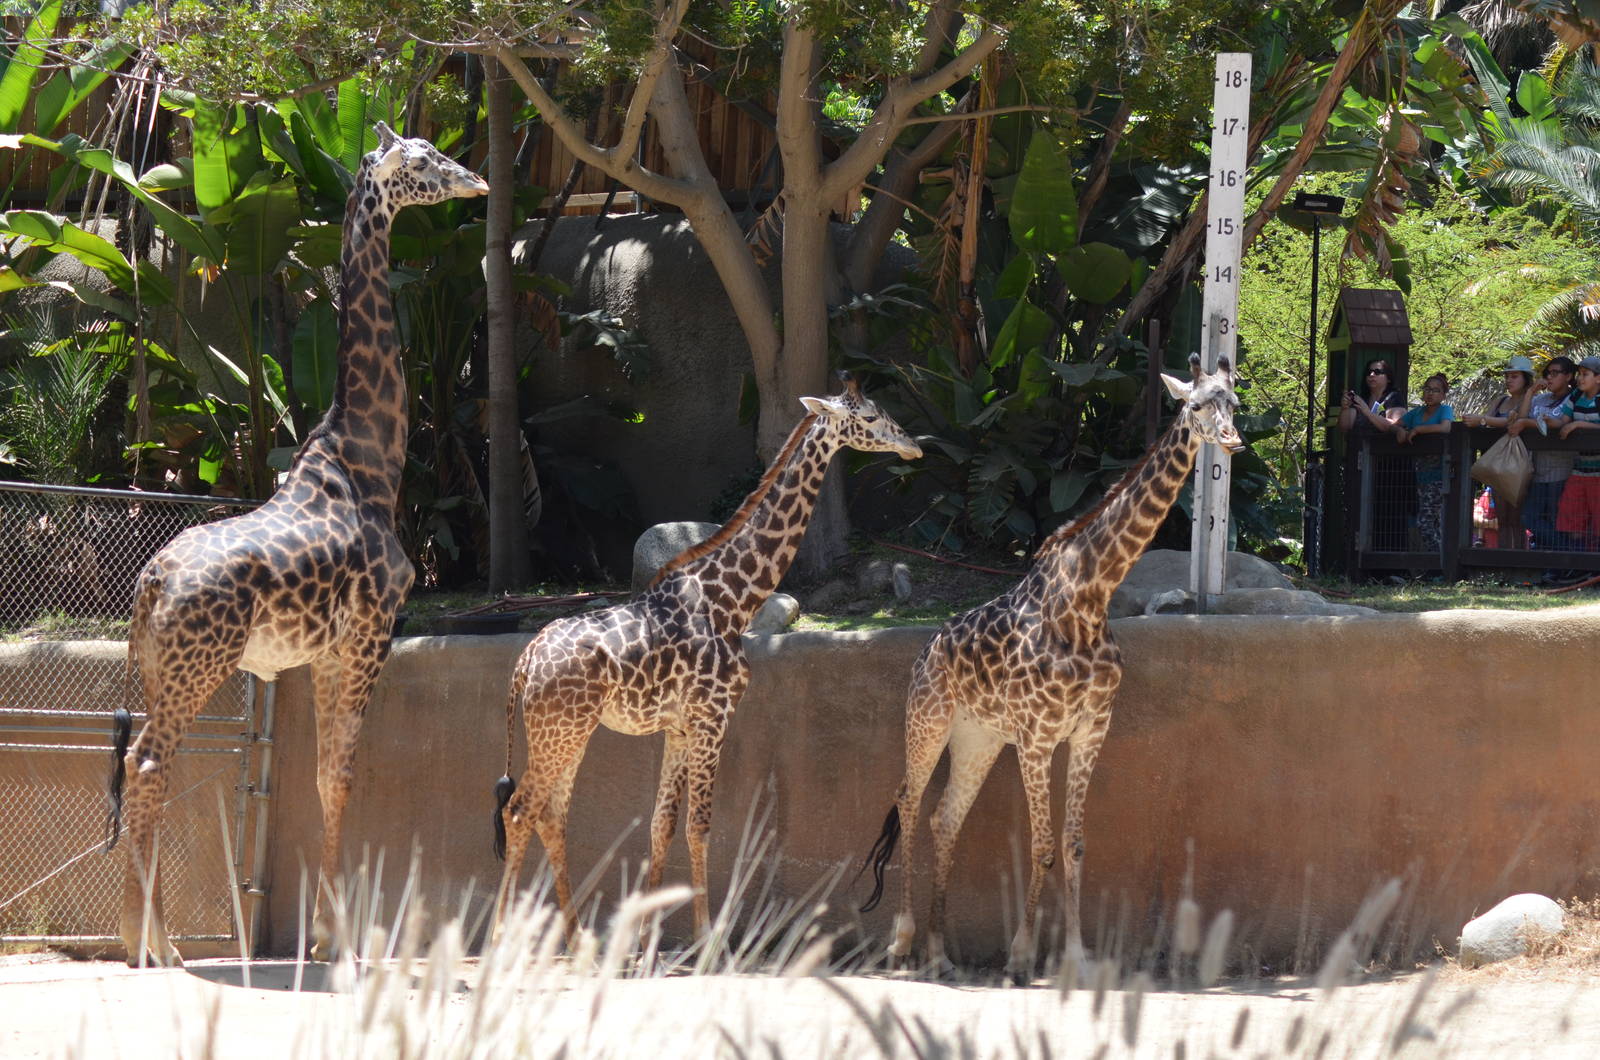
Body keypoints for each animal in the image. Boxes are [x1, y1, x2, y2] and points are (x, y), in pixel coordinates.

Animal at [105, 122, 487, 967]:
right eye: (423, 163)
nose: (477, 181)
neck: (370, 455)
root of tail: (149, 582)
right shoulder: (372, 630)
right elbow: (342, 774)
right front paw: (338, 939)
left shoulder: (321, 652)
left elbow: (318, 778)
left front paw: (321, 933)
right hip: (198, 666)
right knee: (147, 763)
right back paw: (155, 945)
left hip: (158, 667)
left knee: (142, 763)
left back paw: (150, 938)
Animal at [490, 375, 921, 940]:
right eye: (869, 417)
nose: (912, 445)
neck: (732, 599)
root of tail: (525, 662)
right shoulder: (712, 717)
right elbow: (699, 826)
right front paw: (705, 936)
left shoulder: (678, 726)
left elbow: (662, 824)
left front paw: (644, 939)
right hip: (559, 730)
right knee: (521, 812)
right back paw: (502, 938)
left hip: (565, 731)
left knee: (550, 815)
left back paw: (575, 934)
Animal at [860, 353, 1243, 981]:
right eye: (1194, 404)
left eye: (1234, 402)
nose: (1232, 440)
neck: (1090, 596)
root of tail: (925, 649)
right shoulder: (1038, 737)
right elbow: (1040, 847)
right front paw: (1022, 956)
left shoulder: (1090, 730)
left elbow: (1073, 844)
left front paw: (1077, 959)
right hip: (927, 722)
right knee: (909, 803)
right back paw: (902, 943)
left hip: (978, 738)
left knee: (945, 818)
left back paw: (940, 953)